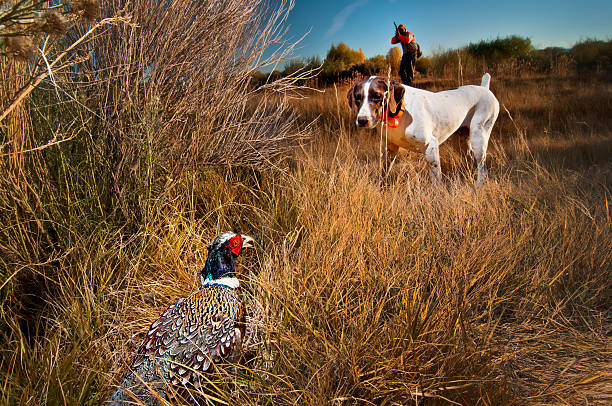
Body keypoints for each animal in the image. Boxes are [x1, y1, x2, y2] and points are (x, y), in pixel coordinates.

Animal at [346, 74, 500, 184]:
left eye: (377, 96)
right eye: (358, 98)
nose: (362, 120)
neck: (399, 112)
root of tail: (485, 88)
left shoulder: (431, 147)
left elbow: (436, 180)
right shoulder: (389, 148)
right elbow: (384, 171)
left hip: (479, 136)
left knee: (481, 165)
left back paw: (479, 184)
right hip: (462, 143)